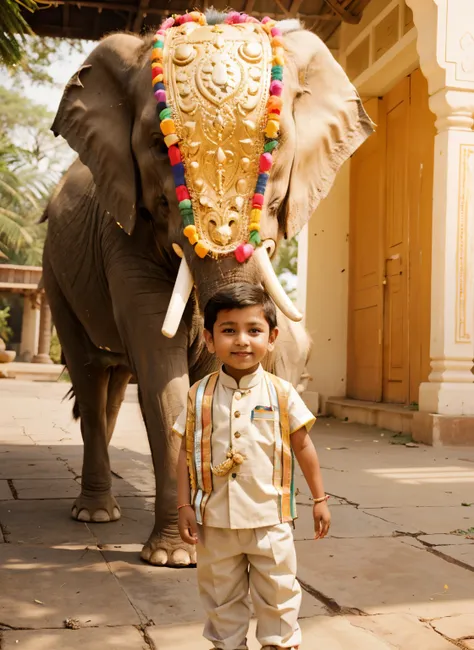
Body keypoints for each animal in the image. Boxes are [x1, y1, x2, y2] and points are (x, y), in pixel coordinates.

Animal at [42, 12, 372, 564]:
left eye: (276, 143)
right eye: (161, 146)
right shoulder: (123, 230)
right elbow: (163, 373)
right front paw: (176, 556)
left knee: (112, 386)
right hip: (54, 273)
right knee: (90, 377)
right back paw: (95, 515)